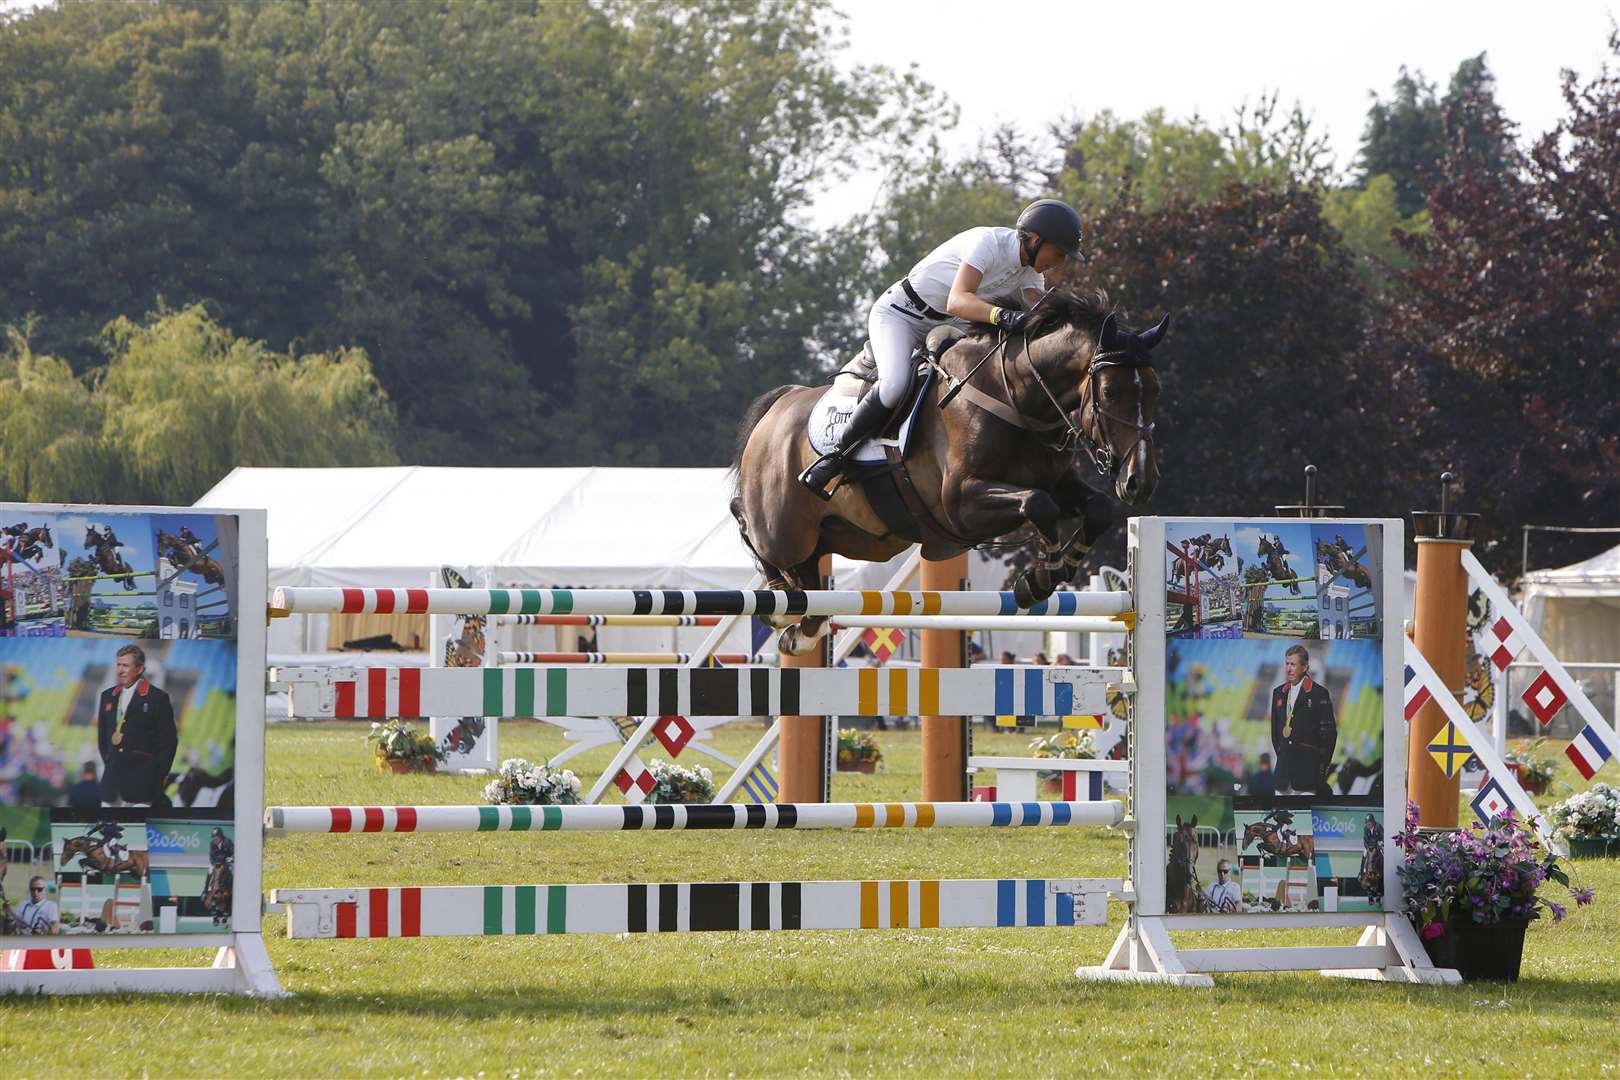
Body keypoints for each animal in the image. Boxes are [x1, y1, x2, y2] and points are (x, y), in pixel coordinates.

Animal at [732, 286, 1166, 654]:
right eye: (1110, 391)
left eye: (1155, 391)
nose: (1140, 482)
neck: (1015, 397)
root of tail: (781, 403)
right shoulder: (960, 503)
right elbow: (1038, 504)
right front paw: (1040, 578)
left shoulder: (1058, 483)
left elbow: (1098, 509)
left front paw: (1051, 571)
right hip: (784, 529)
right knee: (750, 527)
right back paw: (779, 602)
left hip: (856, 538)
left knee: (809, 582)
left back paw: (802, 628)